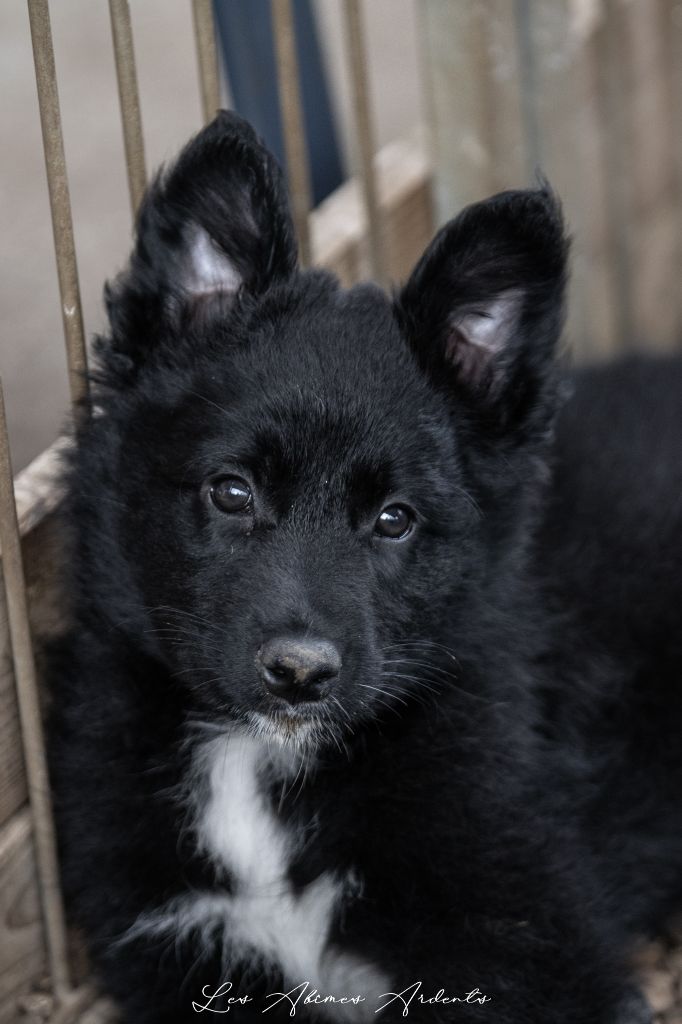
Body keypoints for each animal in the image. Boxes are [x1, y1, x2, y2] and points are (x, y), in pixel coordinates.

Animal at [50, 114, 679, 1024]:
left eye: (394, 520)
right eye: (231, 491)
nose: (300, 674)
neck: (259, 764)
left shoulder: (538, 947)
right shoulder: (178, 950)